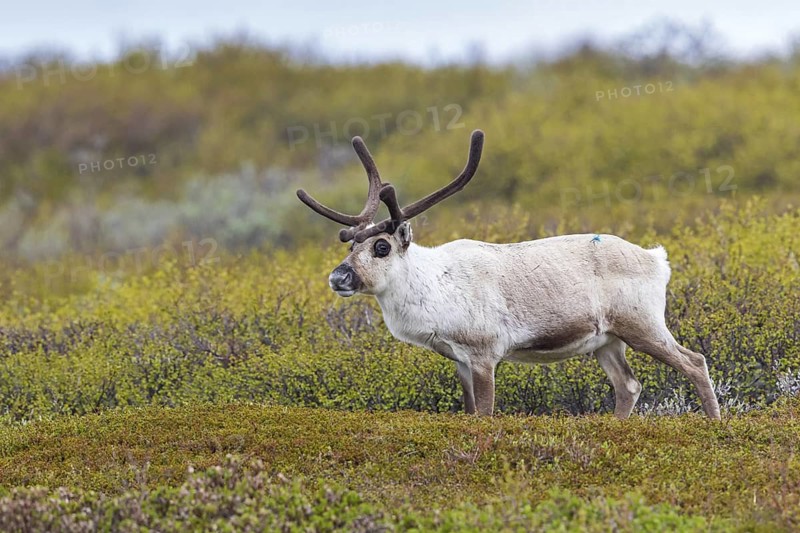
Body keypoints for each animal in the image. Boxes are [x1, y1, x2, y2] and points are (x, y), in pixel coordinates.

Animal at [297, 130, 721, 419]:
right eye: (349, 243)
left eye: (381, 247)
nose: (338, 278)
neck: (434, 286)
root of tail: (658, 259)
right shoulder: (459, 360)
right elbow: (470, 411)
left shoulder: (485, 353)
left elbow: (485, 413)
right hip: (607, 340)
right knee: (628, 385)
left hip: (642, 324)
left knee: (694, 361)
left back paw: (714, 424)